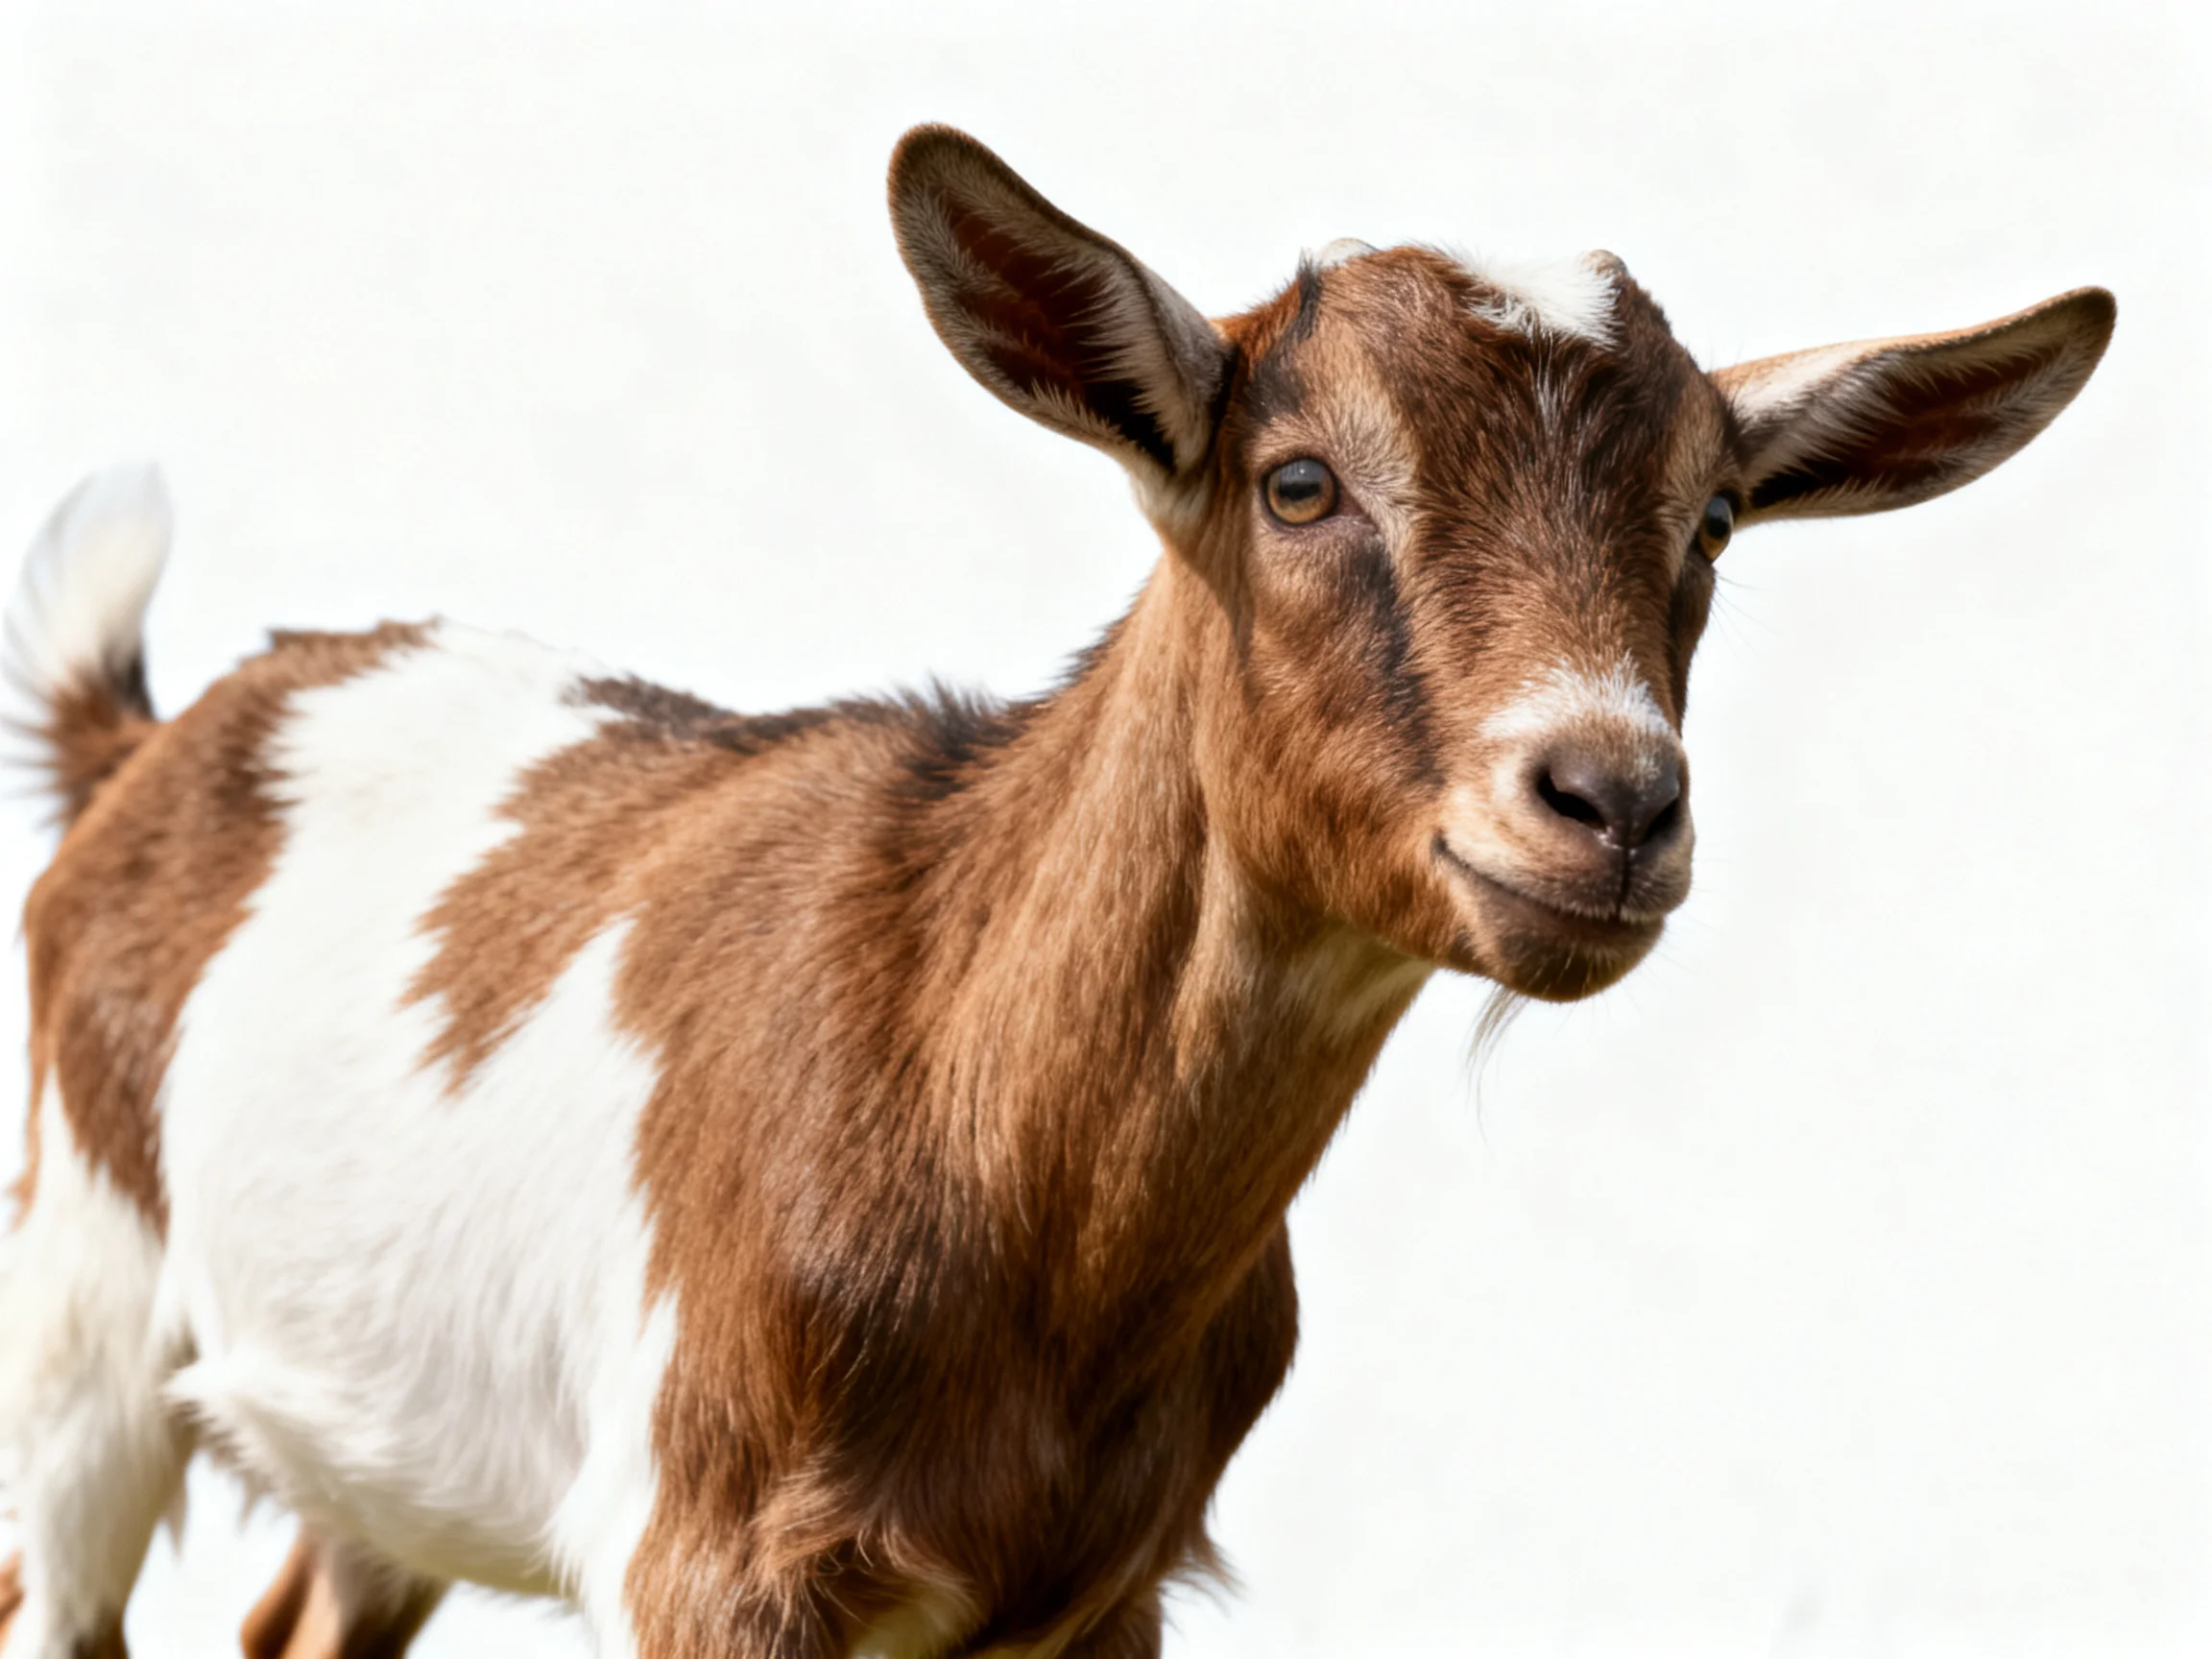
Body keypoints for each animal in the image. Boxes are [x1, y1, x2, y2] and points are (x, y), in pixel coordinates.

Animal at [0, 125, 2111, 1659]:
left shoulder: (1103, 1594)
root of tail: (155, 734)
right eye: (1297, 482)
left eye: (1716, 519)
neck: (965, 1102)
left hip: (380, 1448)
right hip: (79, 1323)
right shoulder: (704, 1558)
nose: (1607, 800)